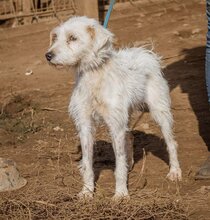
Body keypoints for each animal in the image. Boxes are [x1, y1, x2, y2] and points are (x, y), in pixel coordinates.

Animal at [46, 16, 182, 199]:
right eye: (55, 37)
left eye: (72, 38)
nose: (48, 55)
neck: (94, 74)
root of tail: (145, 53)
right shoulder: (85, 125)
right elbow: (88, 163)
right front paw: (87, 191)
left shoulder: (115, 125)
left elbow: (118, 163)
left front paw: (121, 193)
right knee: (129, 137)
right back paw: (129, 164)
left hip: (159, 112)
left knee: (171, 143)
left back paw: (175, 171)